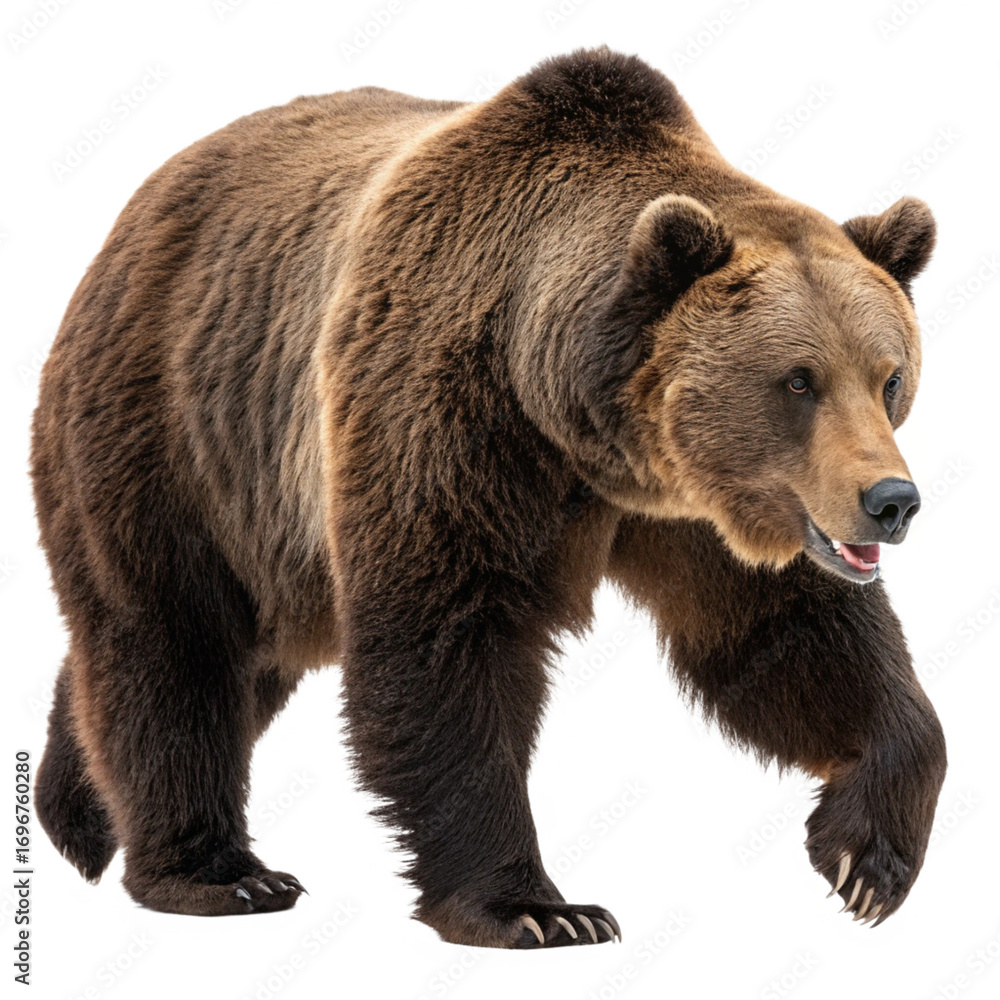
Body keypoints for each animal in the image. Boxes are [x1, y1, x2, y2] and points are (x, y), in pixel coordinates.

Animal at [31, 47, 945, 948]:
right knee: (171, 640)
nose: (892, 500)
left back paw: (76, 811)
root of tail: (128, 219)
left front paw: (867, 860)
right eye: (798, 380)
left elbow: (787, 635)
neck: (583, 428)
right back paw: (217, 872)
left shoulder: (705, 509)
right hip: (176, 427)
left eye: (889, 377)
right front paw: (537, 907)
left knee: (235, 659)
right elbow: (445, 640)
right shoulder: (450, 417)